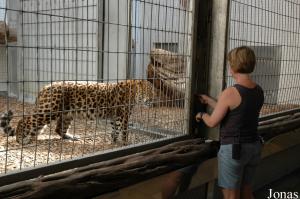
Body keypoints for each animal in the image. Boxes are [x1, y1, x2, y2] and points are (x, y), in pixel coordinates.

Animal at [0, 79, 155, 145]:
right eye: (149, 91)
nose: (153, 100)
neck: (134, 92)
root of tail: (45, 87)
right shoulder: (123, 115)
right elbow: (124, 130)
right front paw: (124, 143)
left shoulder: (115, 116)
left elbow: (115, 129)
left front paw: (114, 141)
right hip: (49, 110)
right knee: (24, 120)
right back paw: (21, 139)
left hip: (66, 114)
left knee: (58, 128)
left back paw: (70, 137)